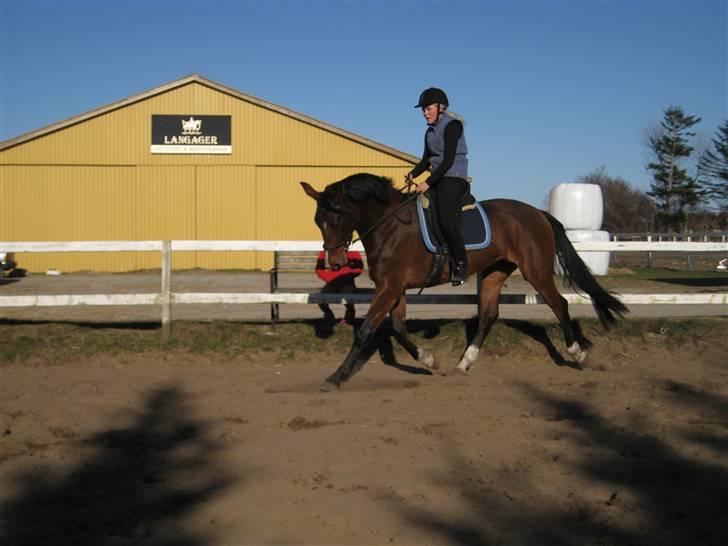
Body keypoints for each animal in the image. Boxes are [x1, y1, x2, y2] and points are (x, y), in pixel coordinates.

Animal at [298, 172, 628, 388]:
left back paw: (577, 354)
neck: (389, 225)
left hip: (536, 271)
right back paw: (463, 364)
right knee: (488, 315)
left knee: (560, 305)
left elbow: (366, 331)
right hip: (494, 273)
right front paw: (430, 361)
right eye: (317, 221)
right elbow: (399, 329)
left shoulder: (390, 287)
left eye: (337, 217)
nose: (335, 263)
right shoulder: (395, 288)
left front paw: (336, 377)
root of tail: (537, 213)